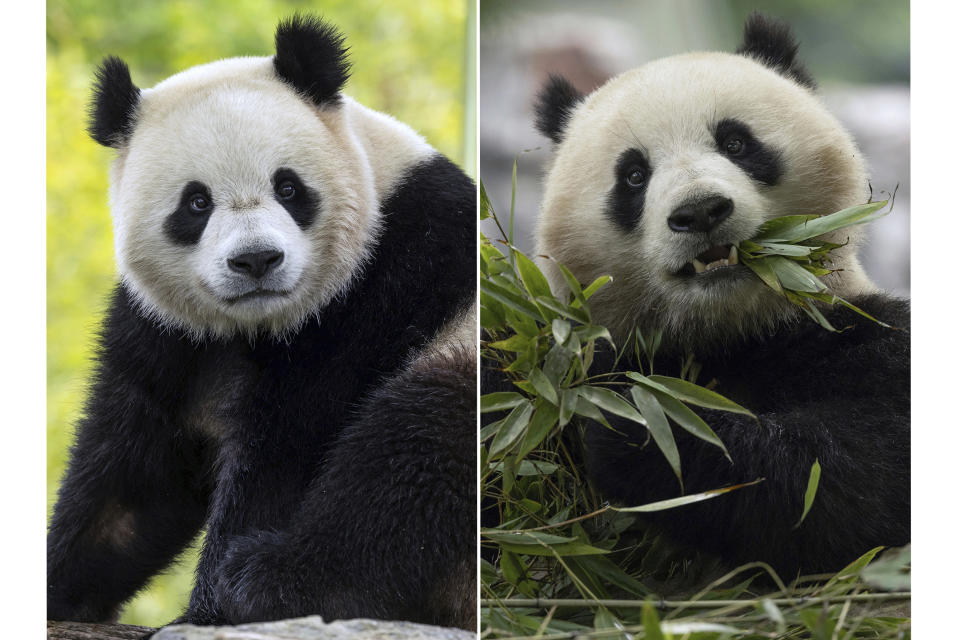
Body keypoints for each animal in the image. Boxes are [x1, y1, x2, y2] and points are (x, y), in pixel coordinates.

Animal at [47, 15, 478, 632]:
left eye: (289, 187)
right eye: (196, 203)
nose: (256, 260)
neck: (256, 324)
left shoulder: (381, 288)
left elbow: (286, 450)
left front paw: (207, 612)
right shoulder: (169, 333)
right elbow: (132, 479)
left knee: (415, 455)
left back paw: (272, 579)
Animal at [528, 13, 912, 576]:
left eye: (735, 143)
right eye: (633, 175)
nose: (701, 211)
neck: (726, 328)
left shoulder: (858, 336)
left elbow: (852, 476)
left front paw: (640, 421)